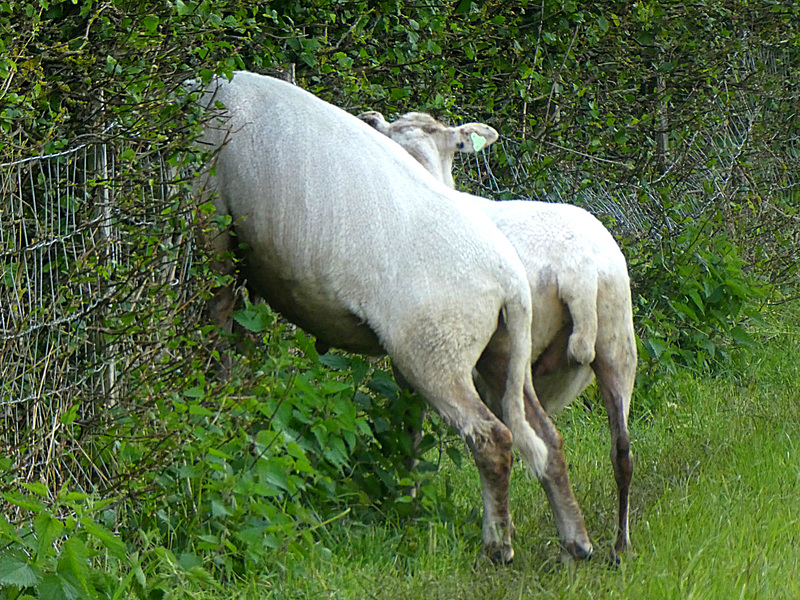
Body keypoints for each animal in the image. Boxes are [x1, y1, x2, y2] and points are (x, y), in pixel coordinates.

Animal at [194, 72, 592, 564]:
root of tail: (512, 283)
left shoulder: (213, 221)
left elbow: (218, 328)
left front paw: (216, 411)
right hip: (498, 354)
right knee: (547, 438)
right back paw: (576, 540)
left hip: (437, 352)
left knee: (491, 437)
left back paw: (497, 545)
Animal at [360, 110, 636, 556]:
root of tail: (579, 269)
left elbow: (412, 428)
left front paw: (409, 503)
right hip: (617, 337)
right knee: (622, 449)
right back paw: (618, 546)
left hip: (509, 352)